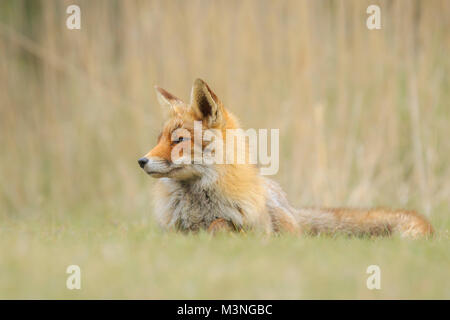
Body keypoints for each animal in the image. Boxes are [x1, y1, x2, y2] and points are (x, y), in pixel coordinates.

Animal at [137, 77, 432, 238]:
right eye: (159, 139)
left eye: (179, 140)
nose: (141, 161)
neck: (200, 206)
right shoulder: (171, 231)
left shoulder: (257, 231)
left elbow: (221, 225)